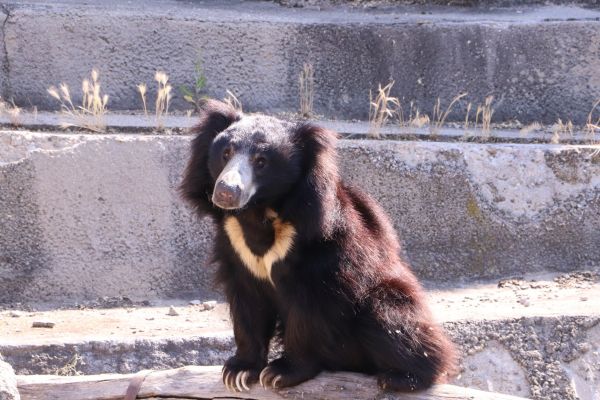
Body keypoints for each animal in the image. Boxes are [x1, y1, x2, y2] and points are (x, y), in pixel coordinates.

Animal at [180, 98, 458, 392]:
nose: (226, 192)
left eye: (261, 161)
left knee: (393, 318)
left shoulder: (320, 247)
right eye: (226, 153)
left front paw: (281, 372)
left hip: (383, 296)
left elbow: (309, 310)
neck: (258, 214)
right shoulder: (236, 247)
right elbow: (248, 304)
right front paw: (239, 371)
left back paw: (401, 377)